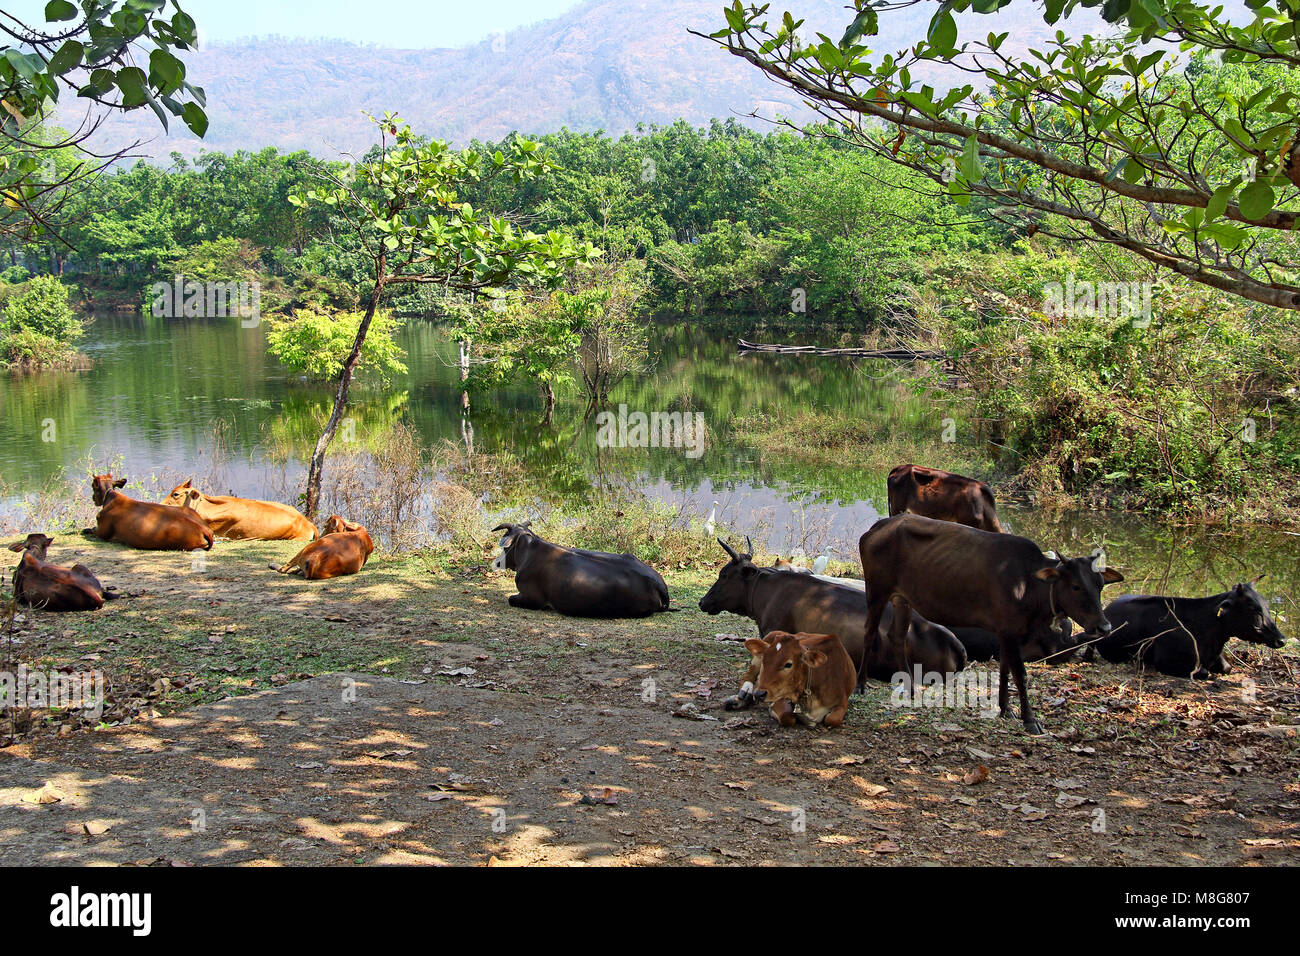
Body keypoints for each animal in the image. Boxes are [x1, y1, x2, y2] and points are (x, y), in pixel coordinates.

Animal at [488, 522, 670, 621]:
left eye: (505, 547)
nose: (497, 562)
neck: (529, 549)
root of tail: (657, 583)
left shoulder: (532, 598)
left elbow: (511, 599)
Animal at [857, 515, 1123, 733]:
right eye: (1076, 586)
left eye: (1100, 585)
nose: (1104, 627)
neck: (1029, 583)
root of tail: (875, 528)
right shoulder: (1010, 631)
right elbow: (1020, 673)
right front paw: (1030, 719)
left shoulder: (1006, 632)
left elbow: (1005, 668)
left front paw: (1006, 709)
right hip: (877, 591)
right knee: (869, 633)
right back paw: (860, 685)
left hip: (903, 599)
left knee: (897, 637)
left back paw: (911, 688)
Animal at [1092, 574, 1284, 681]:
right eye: (1253, 608)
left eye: (1266, 605)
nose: (1281, 639)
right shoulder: (1167, 662)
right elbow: (1204, 672)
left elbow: (1227, 667)